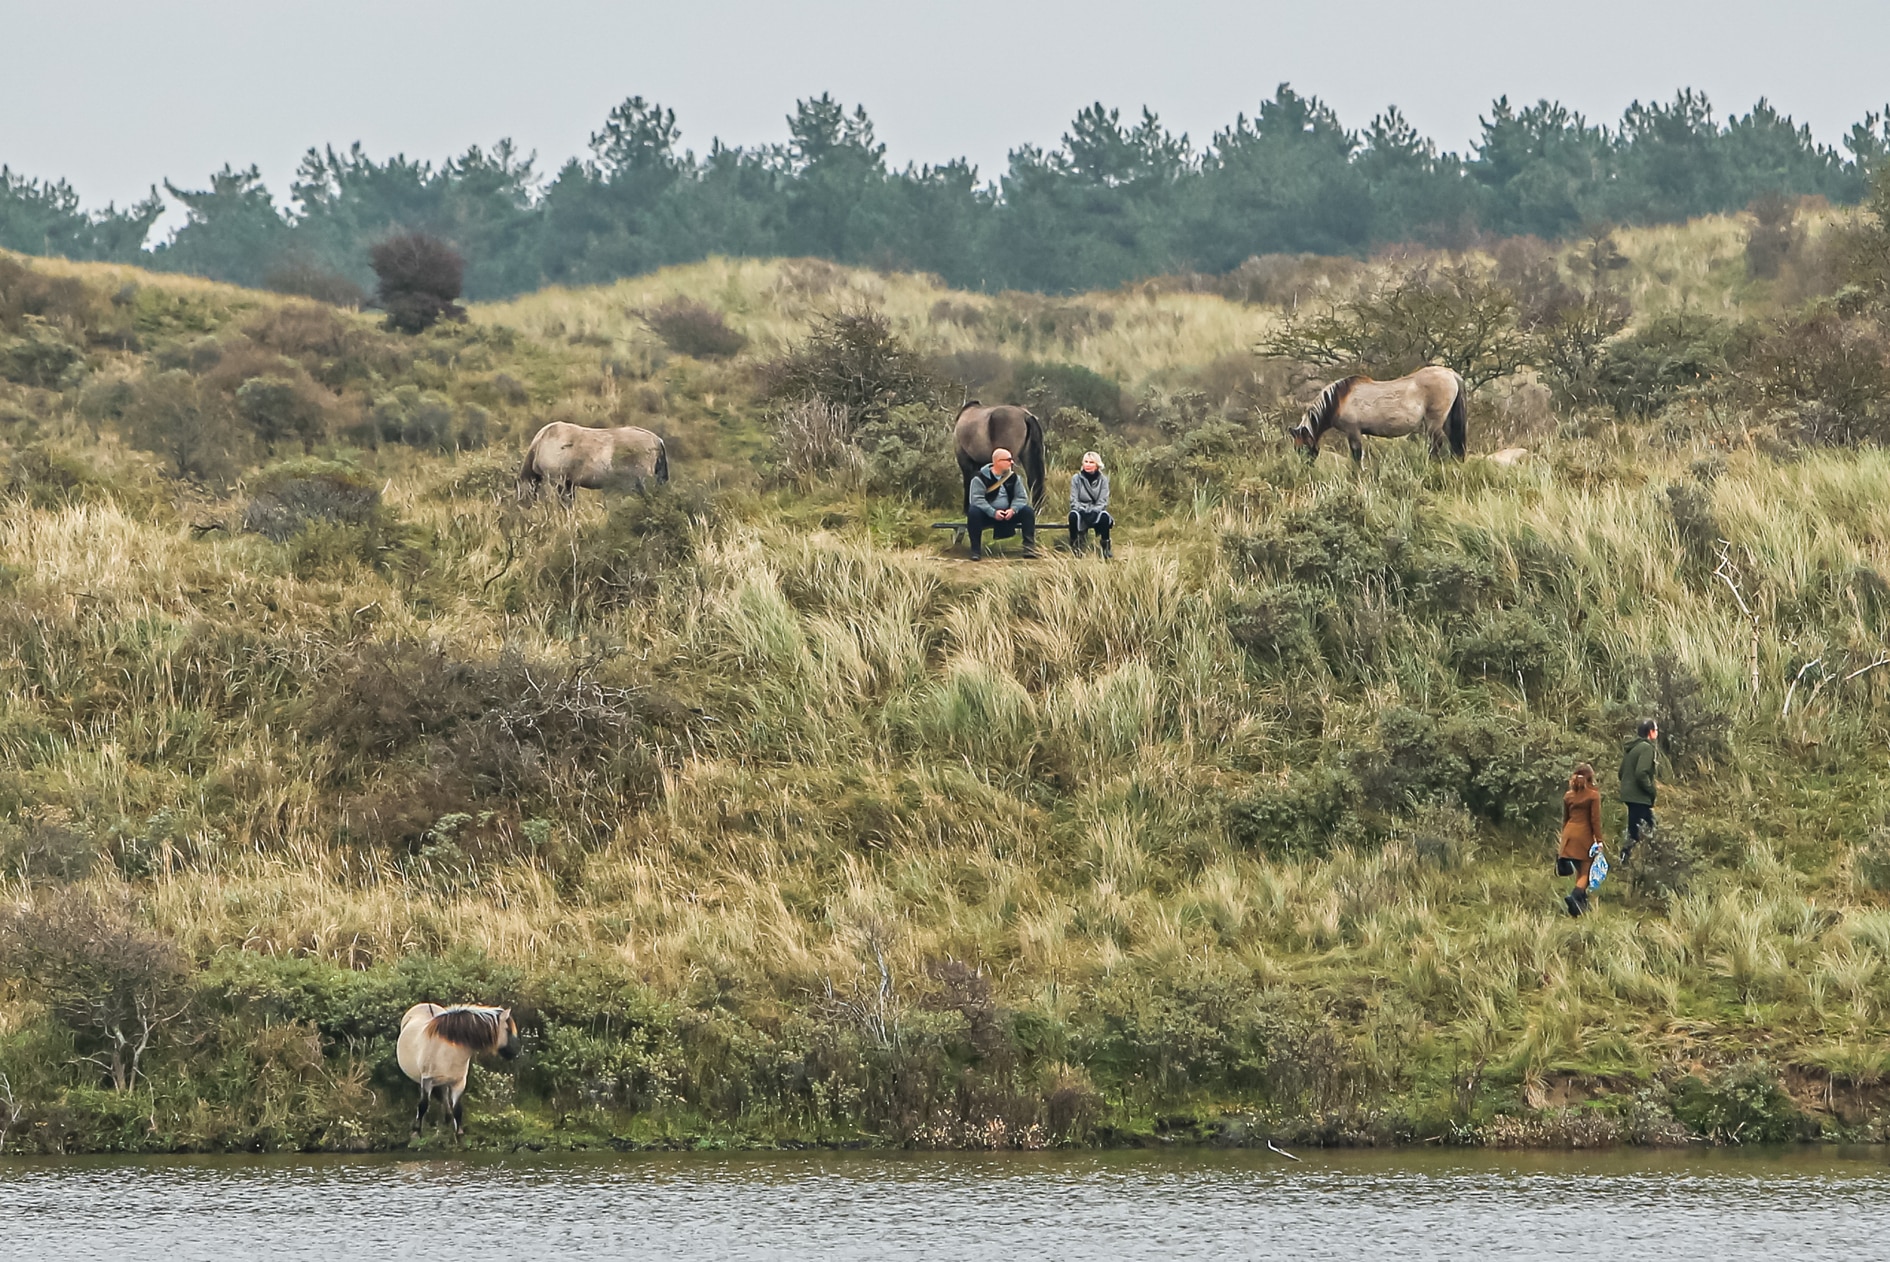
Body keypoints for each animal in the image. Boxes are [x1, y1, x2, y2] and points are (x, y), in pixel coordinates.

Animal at [397, 1002, 521, 1140]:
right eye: (508, 1030)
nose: (517, 1051)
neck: (447, 1050)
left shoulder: (459, 1082)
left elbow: (457, 1109)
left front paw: (459, 1133)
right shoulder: (427, 1081)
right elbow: (423, 1105)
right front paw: (416, 1132)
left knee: (444, 1096)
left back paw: (447, 1118)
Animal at [1290, 366, 1468, 466]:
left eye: (1303, 447)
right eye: (1296, 449)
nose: (1304, 469)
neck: (1338, 399)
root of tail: (1450, 374)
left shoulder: (1353, 432)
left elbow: (1356, 457)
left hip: (1434, 421)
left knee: (1436, 443)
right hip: (1446, 420)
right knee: (1454, 442)